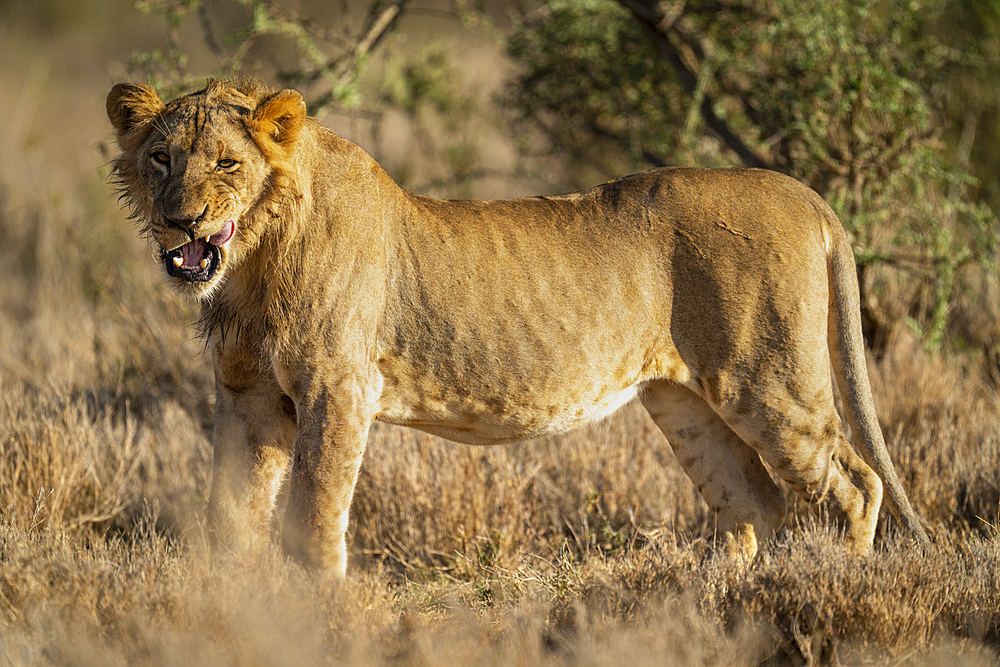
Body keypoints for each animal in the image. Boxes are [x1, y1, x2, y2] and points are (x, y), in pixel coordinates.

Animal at [105, 77, 924, 576]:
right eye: (161, 158)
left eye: (226, 163)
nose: (180, 219)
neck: (251, 262)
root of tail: (803, 191)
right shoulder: (249, 396)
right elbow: (232, 509)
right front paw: (236, 605)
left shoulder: (338, 387)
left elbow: (314, 509)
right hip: (684, 402)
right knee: (751, 502)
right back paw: (713, 601)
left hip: (767, 379)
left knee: (854, 482)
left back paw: (829, 588)